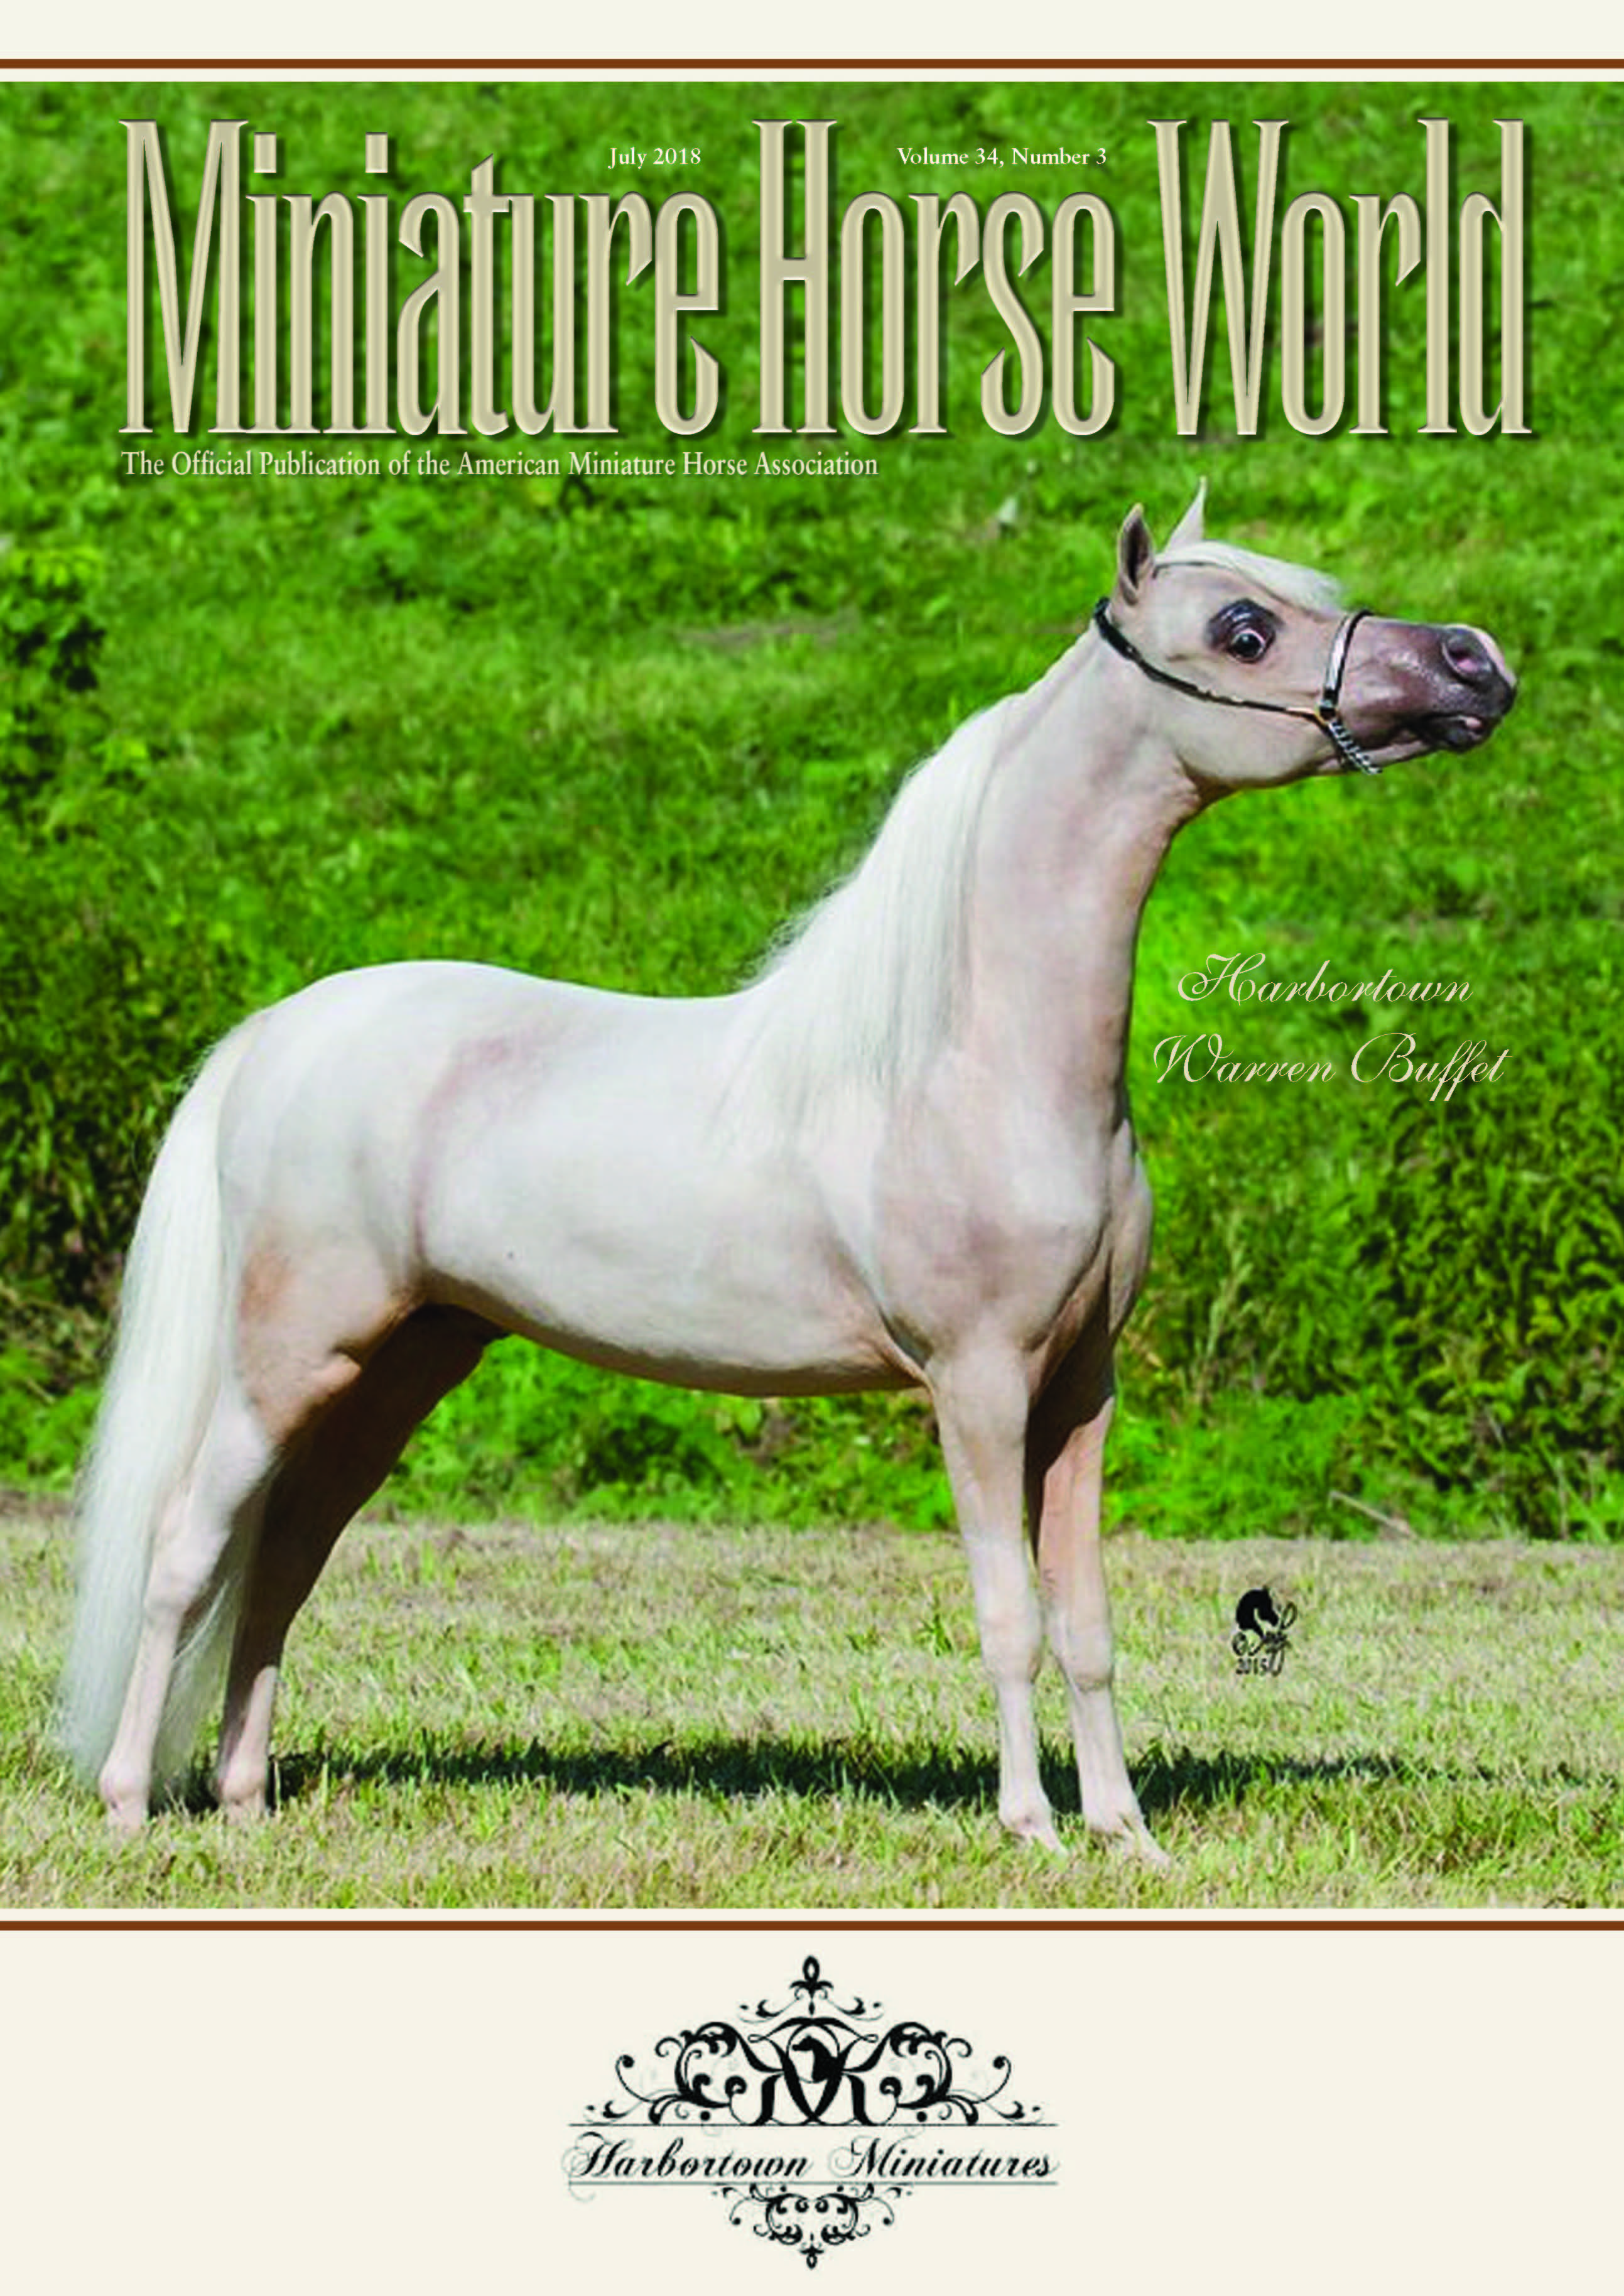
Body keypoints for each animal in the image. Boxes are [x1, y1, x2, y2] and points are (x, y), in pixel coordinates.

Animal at [59, 488, 1516, 1862]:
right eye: (1244, 629)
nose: (1475, 661)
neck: (975, 1060)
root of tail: (274, 1035)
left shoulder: (1080, 1390)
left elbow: (1086, 1619)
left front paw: (1127, 1834)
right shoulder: (977, 1384)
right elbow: (1007, 1614)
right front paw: (1032, 1826)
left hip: (399, 1367)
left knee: (282, 1561)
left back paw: (246, 1804)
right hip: (285, 1359)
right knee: (187, 1550)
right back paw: (129, 1805)